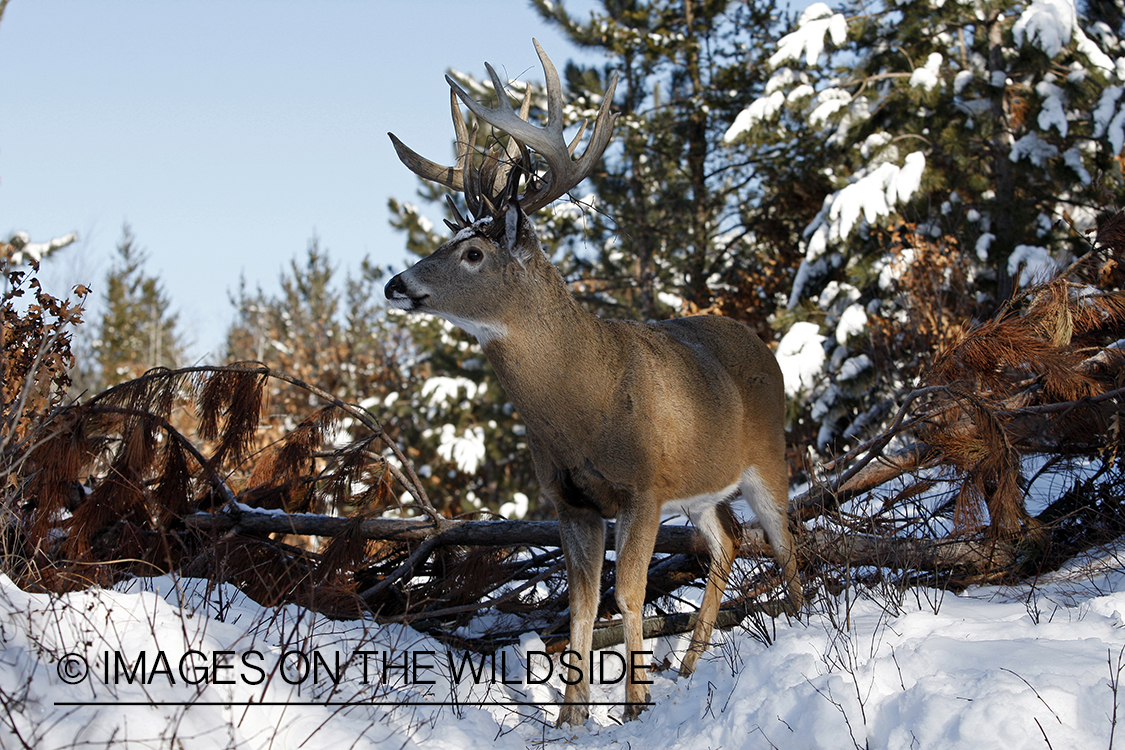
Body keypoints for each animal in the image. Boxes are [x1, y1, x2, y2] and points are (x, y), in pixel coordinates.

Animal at [384, 39, 801, 728]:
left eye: (474, 254)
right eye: (452, 240)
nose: (396, 284)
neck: (582, 402)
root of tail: (761, 345)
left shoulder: (643, 486)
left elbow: (628, 593)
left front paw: (634, 709)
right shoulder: (569, 500)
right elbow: (582, 605)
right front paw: (570, 719)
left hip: (767, 456)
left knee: (783, 540)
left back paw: (802, 626)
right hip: (702, 487)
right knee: (729, 541)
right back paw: (690, 662)